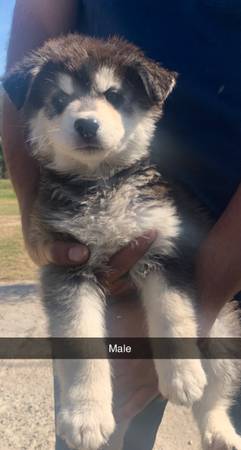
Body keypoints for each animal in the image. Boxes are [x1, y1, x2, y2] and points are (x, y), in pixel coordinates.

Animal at [3, 35, 241, 450]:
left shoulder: (165, 245)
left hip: (222, 335)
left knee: (215, 393)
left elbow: (172, 313)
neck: (102, 183)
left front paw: (182, 376)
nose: (86, 124)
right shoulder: (67, 264)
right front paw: (86, 418)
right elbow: (80, 342)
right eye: (60, 100)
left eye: (113, 95)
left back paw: (219, 430)